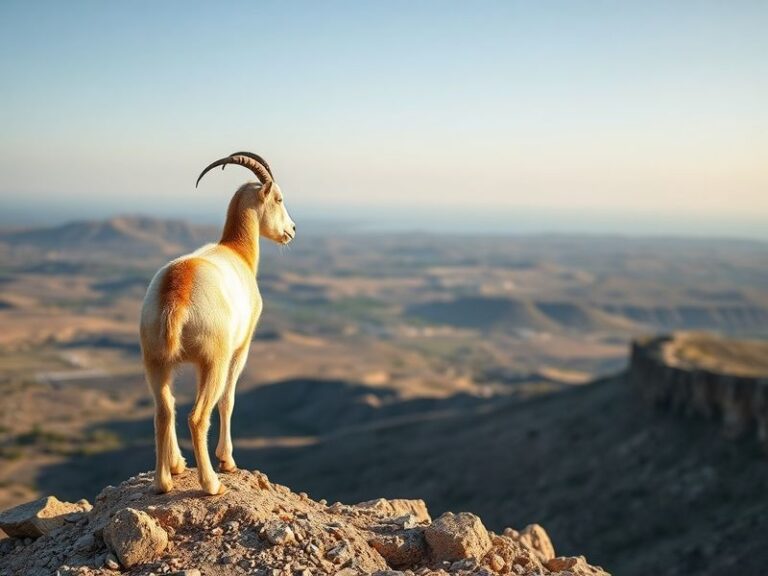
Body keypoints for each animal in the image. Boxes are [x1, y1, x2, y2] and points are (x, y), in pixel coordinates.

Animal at [140, 152, 296, 495]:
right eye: (278, 198)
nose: (291, 230)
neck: (236, 252)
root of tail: (177, 290)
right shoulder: (241, 348)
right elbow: (229, 399)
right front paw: (227, 461)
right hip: (213, 362)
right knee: (197, 416)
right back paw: (211, 484)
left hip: (156, 361)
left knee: (163, 410)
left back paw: (164, 479)